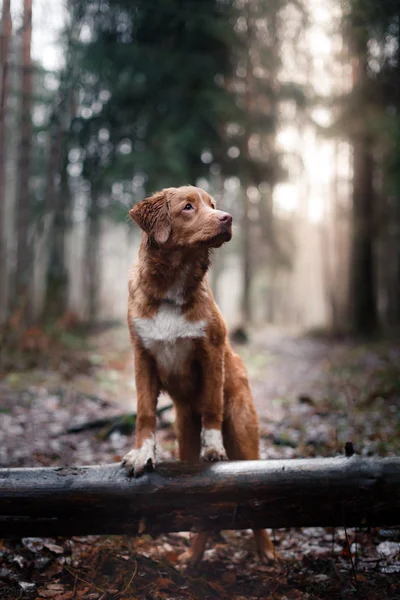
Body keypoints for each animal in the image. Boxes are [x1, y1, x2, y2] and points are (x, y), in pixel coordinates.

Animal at [122, 186, 276, 564]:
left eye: (213, 205)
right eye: (188, 207)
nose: (228, 219)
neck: (172, 287)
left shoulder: (210, 352)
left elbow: (210, 407)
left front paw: (214, 447)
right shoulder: (142, 356)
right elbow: (145, 412)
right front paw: (142, 454)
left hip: (244, 432)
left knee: (255, 487)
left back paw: (265, 551)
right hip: (183, 439)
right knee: (201, 506)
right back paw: (192, 558)